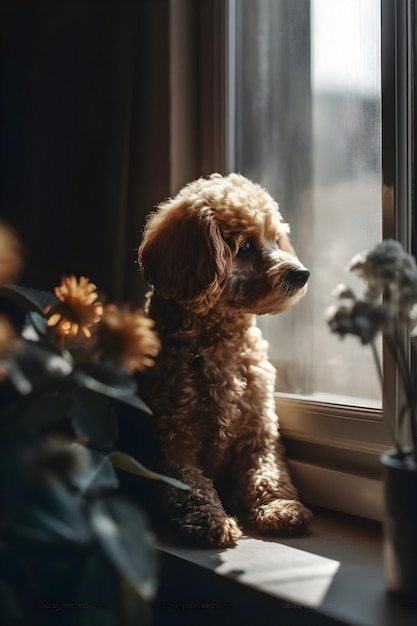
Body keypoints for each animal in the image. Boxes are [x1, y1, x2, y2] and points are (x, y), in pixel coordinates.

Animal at [139, 172, 312, 544]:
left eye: (276, 238)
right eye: (245, 247)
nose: (302, 273)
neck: (222, 345)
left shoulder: (259, 432)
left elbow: (269, 472)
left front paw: (280, 507)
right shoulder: (171, 445)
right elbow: (190, 485)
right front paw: (210, 519)